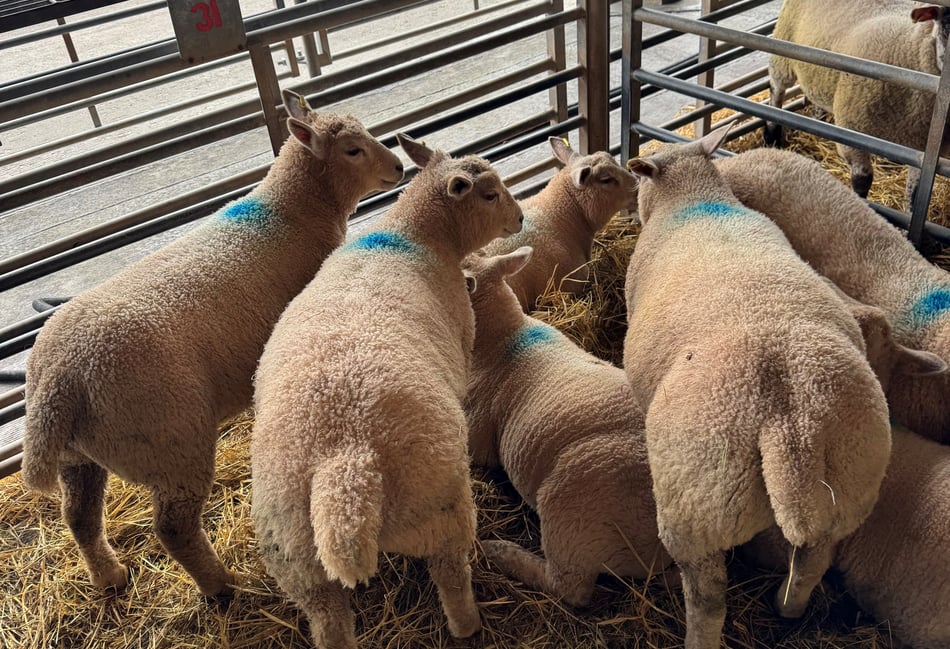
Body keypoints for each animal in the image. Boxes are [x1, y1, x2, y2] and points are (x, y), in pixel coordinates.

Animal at [20, 89, 404, 597]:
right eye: (353, 150)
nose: (399, 167)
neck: (292, 212)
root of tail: (58, 380)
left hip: (80, 456)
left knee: (79, 516)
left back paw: (110, 577)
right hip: (170, 442)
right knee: (173, 527)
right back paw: (222, 585)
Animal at [249, 133, 523, 649]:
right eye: (490, 194)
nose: (519, 219)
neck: (412, 233)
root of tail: (344, 468)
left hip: (299, 565)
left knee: (330, 623)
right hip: (441, 512)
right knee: (452, 579)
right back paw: (470, 626)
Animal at [623, 127, 892, 649]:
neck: (693, 199)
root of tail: (790, 426)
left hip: (697, 505)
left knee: (708, 600)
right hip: (851, 482)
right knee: (813, 560)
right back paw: (786, 608)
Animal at [765, 0, 950, 202]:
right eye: (947, 24)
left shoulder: (920, 150)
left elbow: (914, 194)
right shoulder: (852, 131)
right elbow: (862, 181)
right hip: (782, 48)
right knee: (775, 92)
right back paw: (771, 138)